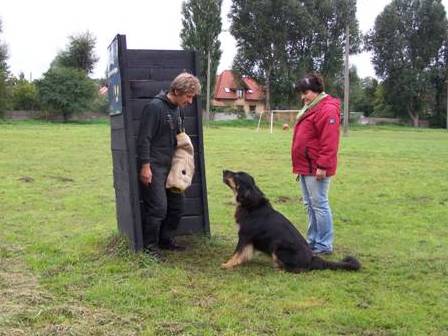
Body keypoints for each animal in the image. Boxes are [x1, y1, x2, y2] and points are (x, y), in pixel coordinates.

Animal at [222, 171, 362, 272]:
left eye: (236, 175)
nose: (224, 170)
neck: (251, 204)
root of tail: (312, 258)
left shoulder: (244, 236)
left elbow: (237, 252)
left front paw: (228, 264)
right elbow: (244, 253)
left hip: (278, 247)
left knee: (298, 269)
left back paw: (280, 268)